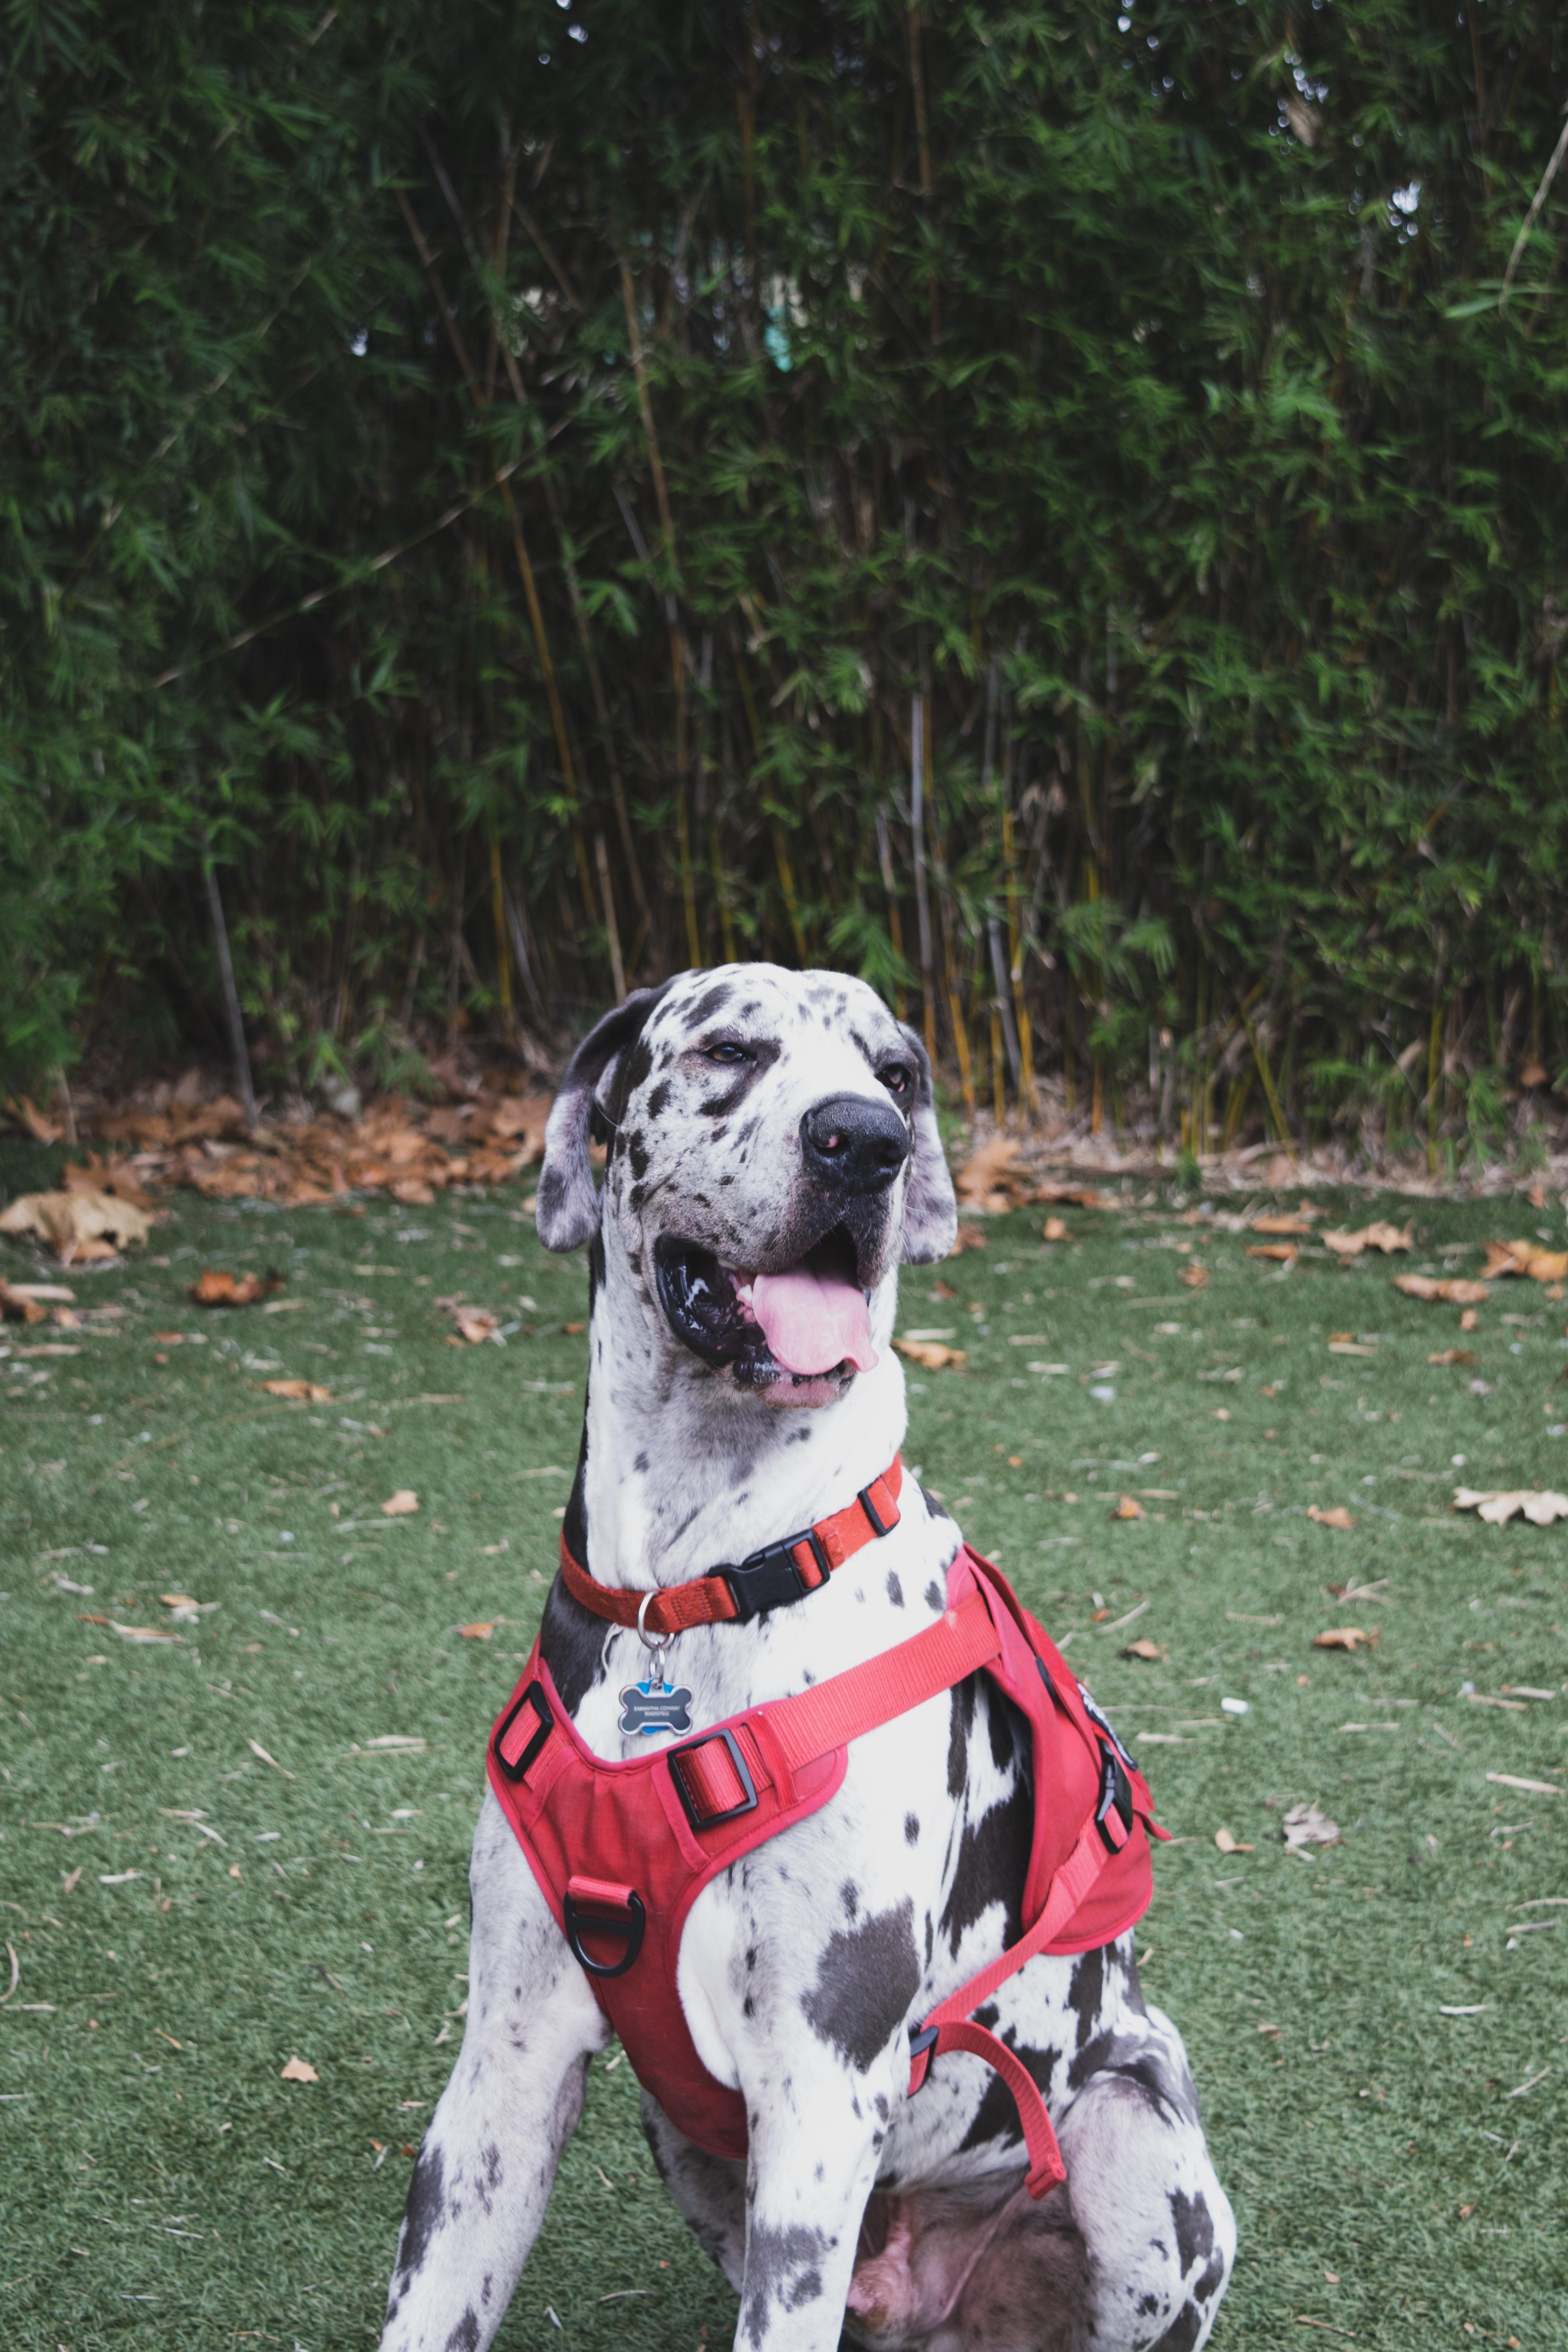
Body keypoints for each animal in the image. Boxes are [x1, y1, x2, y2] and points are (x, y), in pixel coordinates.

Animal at [374, 964, 1232, 2343]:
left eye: (894, 1073)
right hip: (682, 2134)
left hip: (1133, 2145)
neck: (695, 1587)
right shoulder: (504, 2063)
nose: (865, 1143)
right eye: (730, 1048)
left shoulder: (825, 2075)